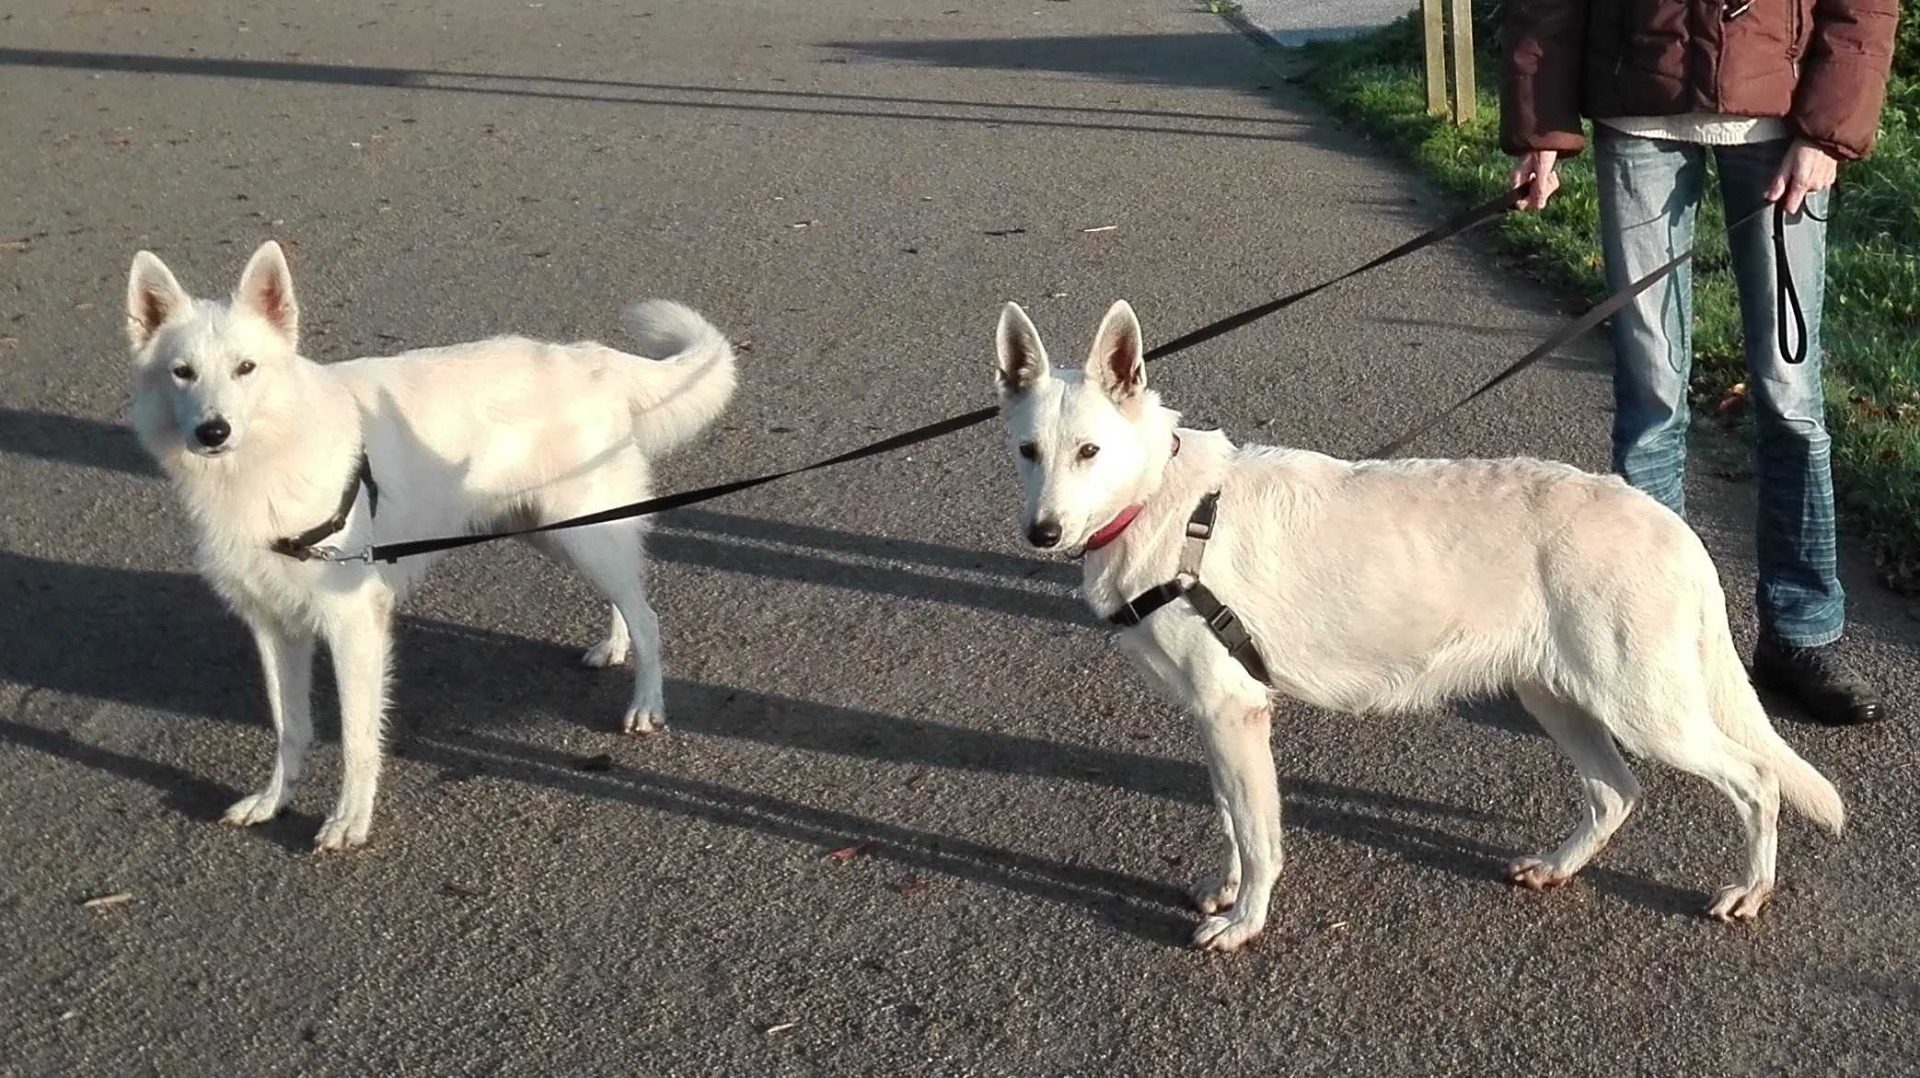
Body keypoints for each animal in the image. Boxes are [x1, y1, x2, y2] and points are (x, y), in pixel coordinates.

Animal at [121, 244, 733, 849]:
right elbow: (289, 727)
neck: (269, 455)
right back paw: (615, 646)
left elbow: (356, 738)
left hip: (579, 532)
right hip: (558, 533)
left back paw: (646, 703)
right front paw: (275, 801)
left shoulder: (353, 623)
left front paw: (350, 820)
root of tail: (590, 358)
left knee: (648, 615)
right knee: (625, 596)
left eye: (245, 368)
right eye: (182, 373)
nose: (212, 432)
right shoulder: (274, 627)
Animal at [990, 297, 1843, 945]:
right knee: (1615, 793)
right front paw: (1226, 888)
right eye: (1029, 451)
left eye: (1090, 451)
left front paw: (1244, 921)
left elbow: (1260, 839)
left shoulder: (1235, 713)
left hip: (1647, 707)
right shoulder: (1215, 718)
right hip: (1558, 697)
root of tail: (1669, 523)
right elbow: (1234, 820)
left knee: (1757, 780)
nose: (1043, 534)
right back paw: (1557, 867)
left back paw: (1749, 889)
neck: (1164, 503)